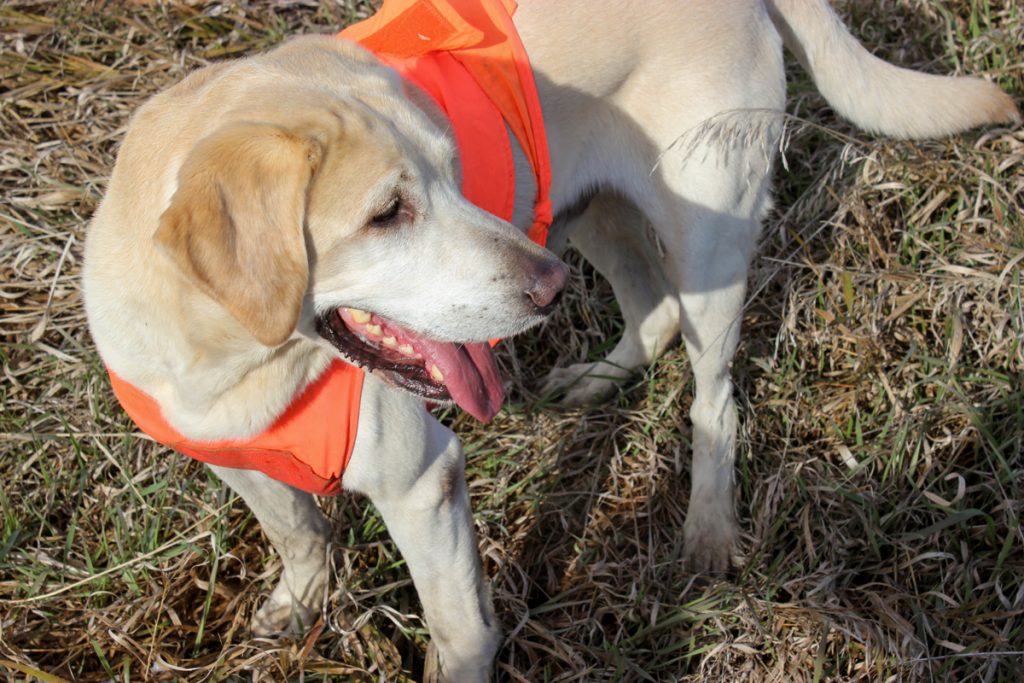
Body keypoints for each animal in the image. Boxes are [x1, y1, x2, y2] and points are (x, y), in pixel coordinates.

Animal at [86, 0, 1015, 679]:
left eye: (452, 168)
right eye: (387, 212)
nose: (545, 289)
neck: (239, 362)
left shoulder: (422, 484)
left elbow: (458, 629)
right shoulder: (235, 457)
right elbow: (298, 531)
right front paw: (298, 609)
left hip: (703, 238)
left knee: (712, 395)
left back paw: (709, 531)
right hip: (587, 214)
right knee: (650, 309)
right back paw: (596, 380)